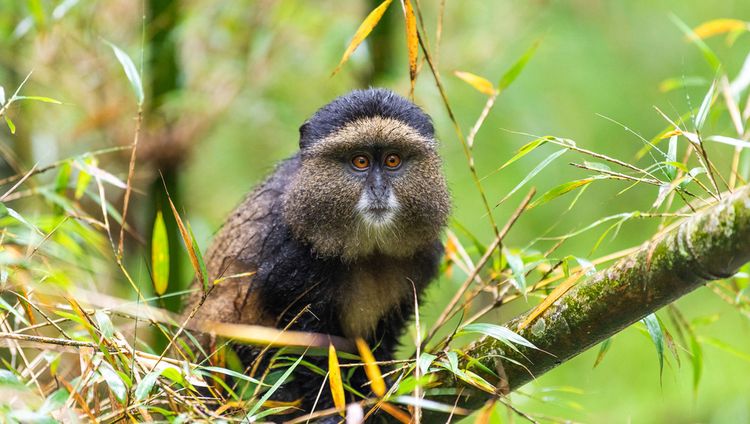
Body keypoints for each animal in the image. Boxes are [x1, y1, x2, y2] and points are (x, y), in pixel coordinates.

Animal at [184, 88, 450, 420]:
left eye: (392, 160)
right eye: (360, 161)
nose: (378, 189)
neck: (368, 250)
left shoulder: (421, 258)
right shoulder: (291, 261)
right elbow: (308, 348)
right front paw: (328, 410)